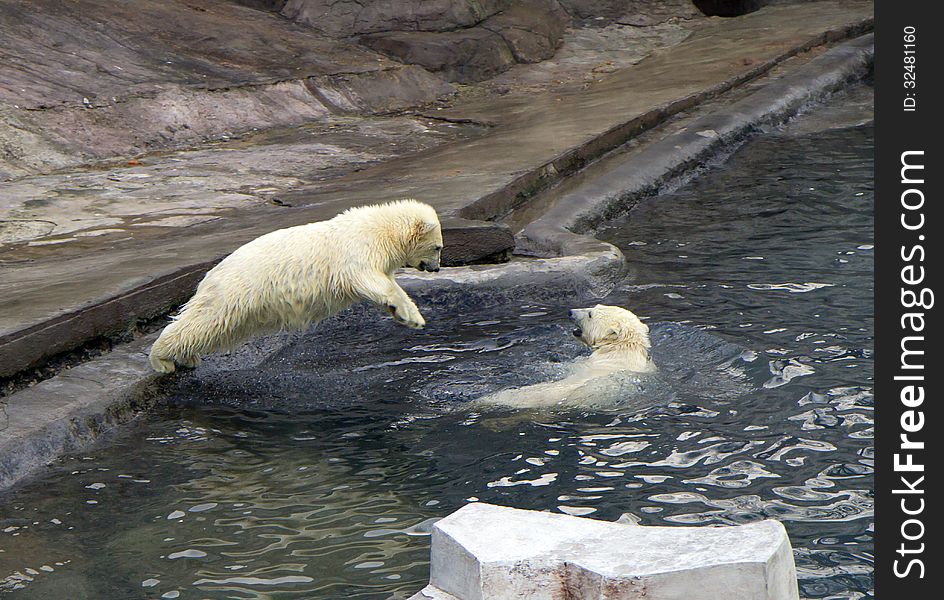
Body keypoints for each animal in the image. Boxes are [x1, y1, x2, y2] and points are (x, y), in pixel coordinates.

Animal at [148, 199, 442, 372]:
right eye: (438, 247)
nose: (436, 268)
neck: (380, 228)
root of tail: (211, 275)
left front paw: (401, 314)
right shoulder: (358, 251)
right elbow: (373, 281)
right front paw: (412, 316)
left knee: (218, 331)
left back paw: (188, 357)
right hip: (236, 293)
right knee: (205, 323)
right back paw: (161, 359)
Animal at [476, 304, 652, 408]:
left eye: (590, 314)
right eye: (594, 306)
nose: (570, 312)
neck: (624, 348)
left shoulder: (592, 364)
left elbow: (569, 367)